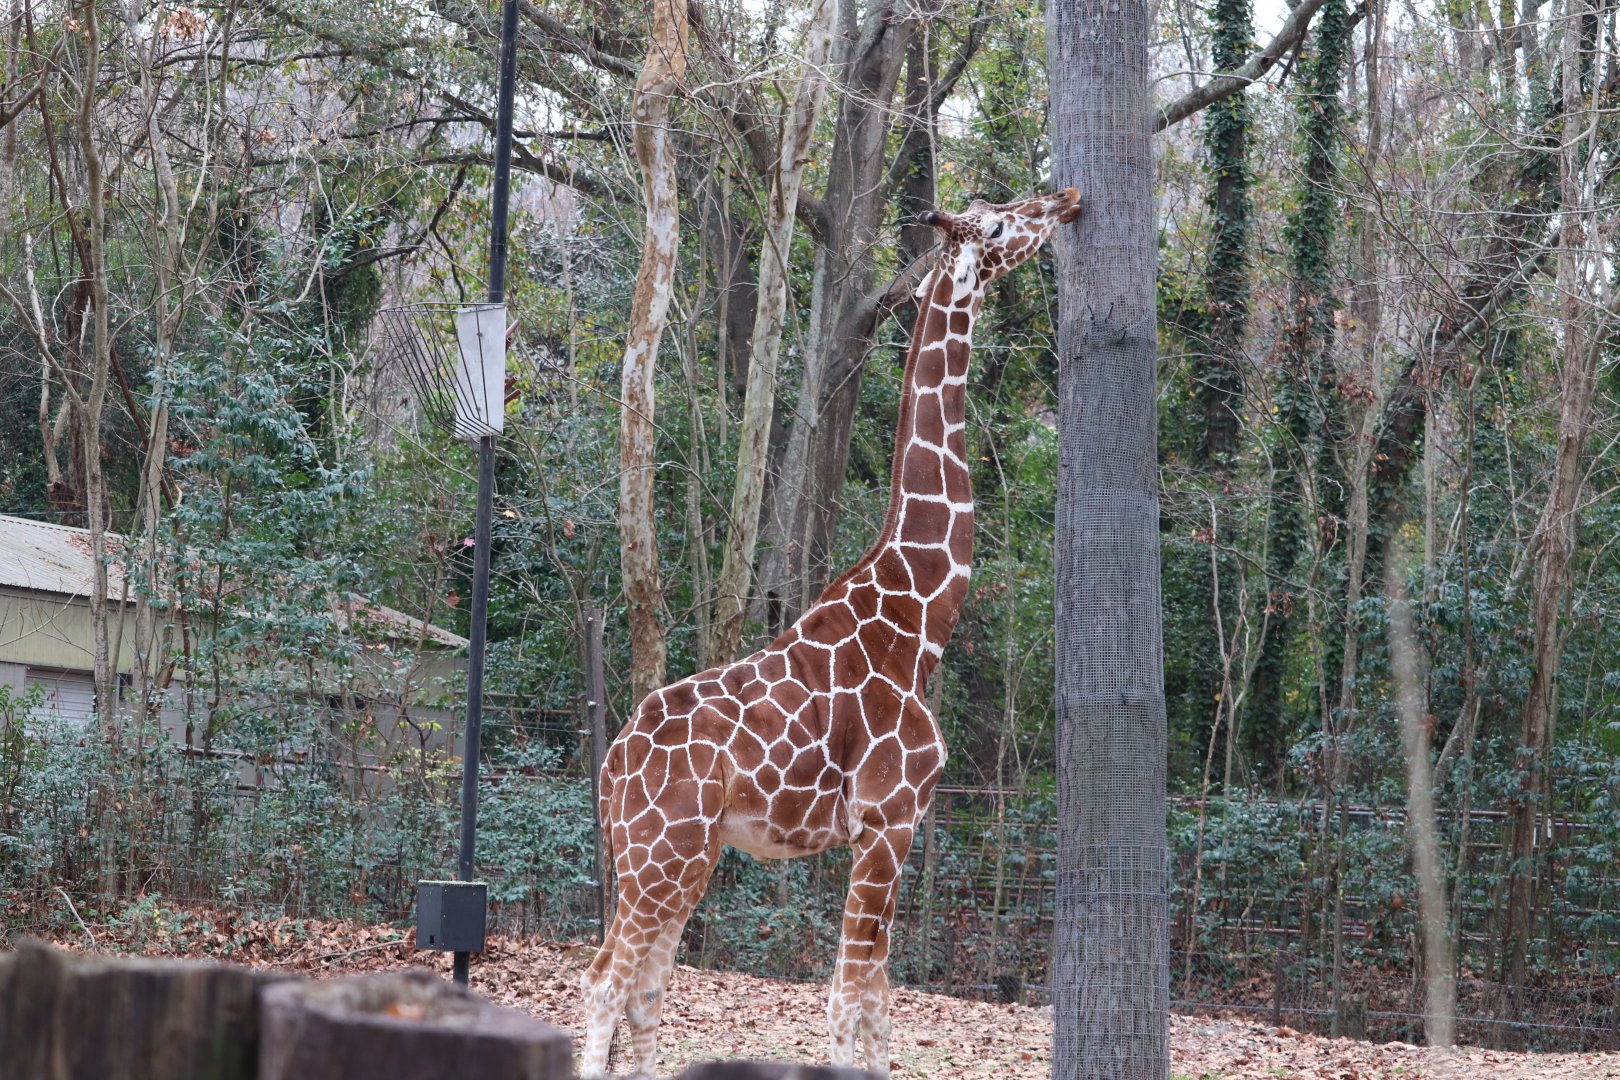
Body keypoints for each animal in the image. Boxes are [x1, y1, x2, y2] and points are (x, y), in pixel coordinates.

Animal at [580, 187, 1081, 1079]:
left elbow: (879, 1008)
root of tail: (610, 768)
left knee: (644, 989)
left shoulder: (894, 829)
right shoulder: (887, 819)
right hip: (659, 854)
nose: (1064, 197)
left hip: (686, 857)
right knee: (605, 983)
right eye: (995, 224)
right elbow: (849, 1003)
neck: (921, 619)